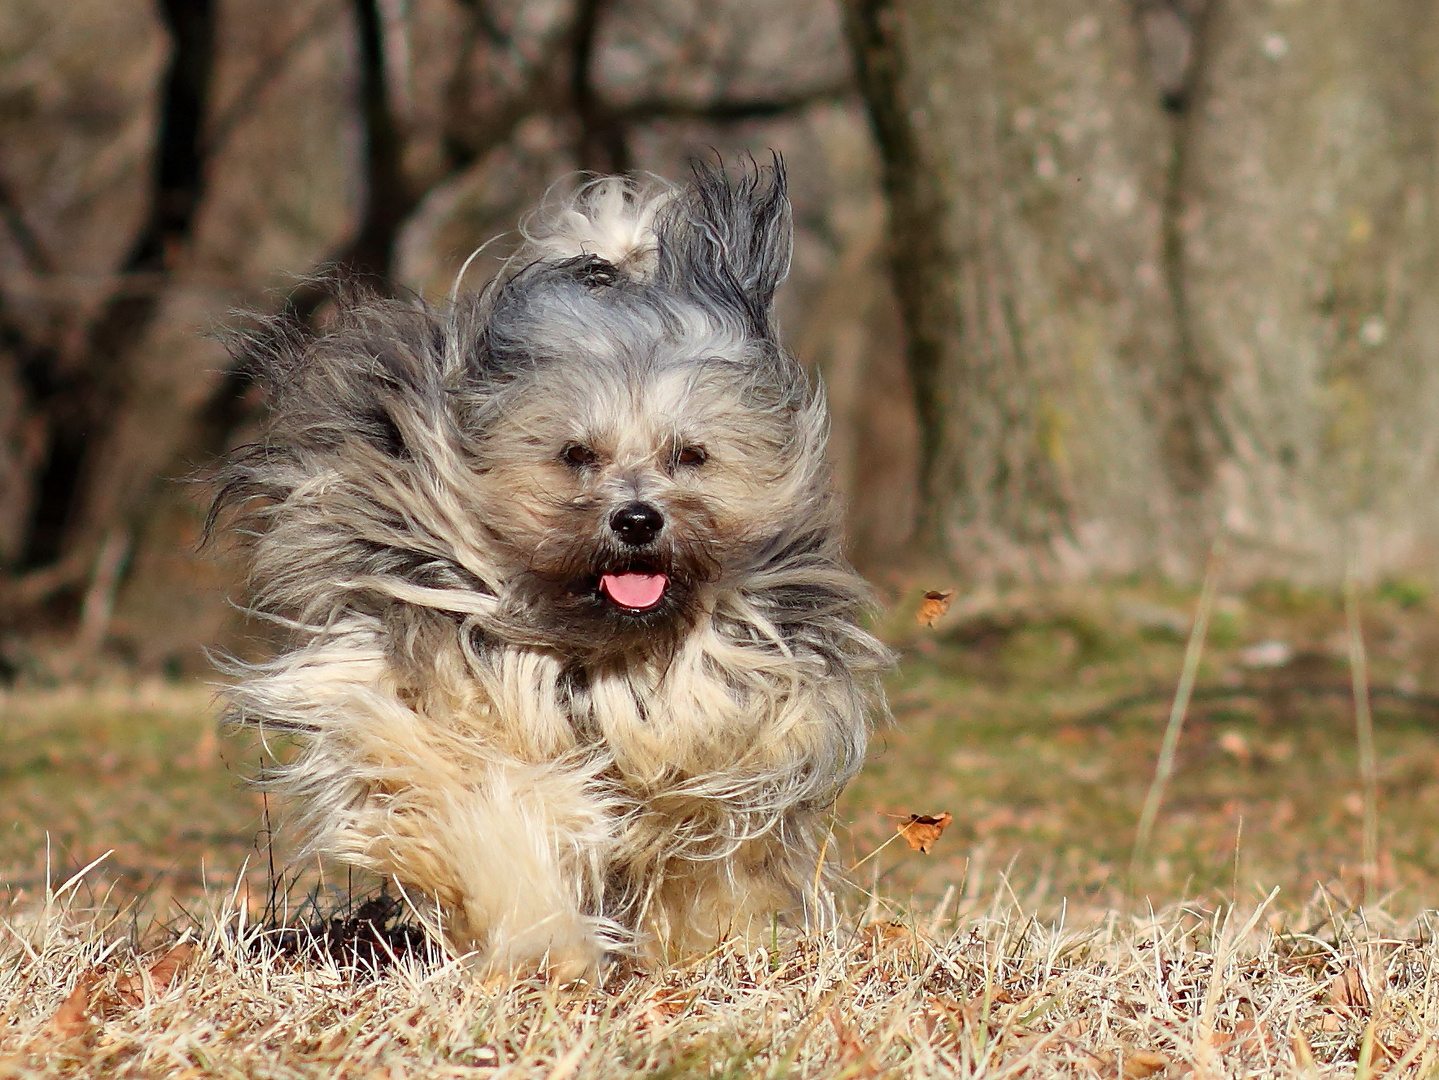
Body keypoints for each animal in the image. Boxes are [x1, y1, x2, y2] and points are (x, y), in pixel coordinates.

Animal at [211, 160, 886, 977]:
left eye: (690, 454)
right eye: (575, 453)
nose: (637, 520)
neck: (603, 644)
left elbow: (704, 812)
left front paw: (702, 940)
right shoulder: (431, 702)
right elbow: (491, 805)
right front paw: (544, 941)